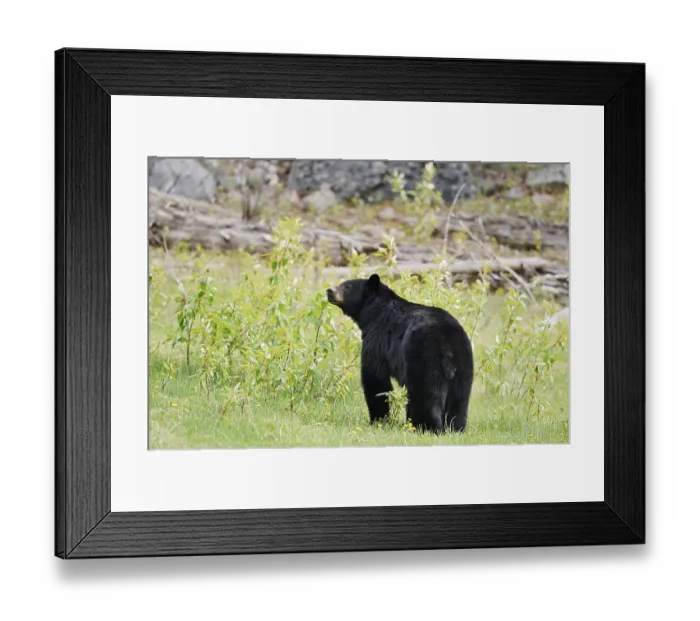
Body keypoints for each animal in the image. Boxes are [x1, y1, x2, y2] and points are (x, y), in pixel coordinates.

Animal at [327, 274, 474, 433]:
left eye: (347, 286)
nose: (330, 291)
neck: (374, 312)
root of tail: (447, 349)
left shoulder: (377, 338)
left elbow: (374, 377)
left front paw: (379, 420)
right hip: (463, 363)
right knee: (459, 400)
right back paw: (455, 428)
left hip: (423, 359)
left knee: (424, 396)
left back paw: (425, 427)